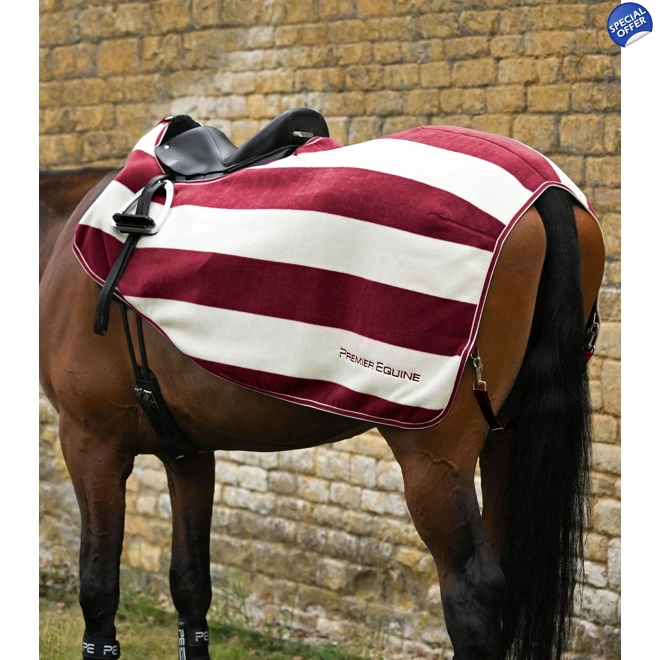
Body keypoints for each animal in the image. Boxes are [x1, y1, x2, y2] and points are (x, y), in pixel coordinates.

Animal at [39, 114, 605, 660]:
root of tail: (543, 189)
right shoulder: (189, 452)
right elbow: (191, 588)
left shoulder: (90, 443)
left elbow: (98, 590)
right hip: (506, 438)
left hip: (435, 459)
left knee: (474, 593)